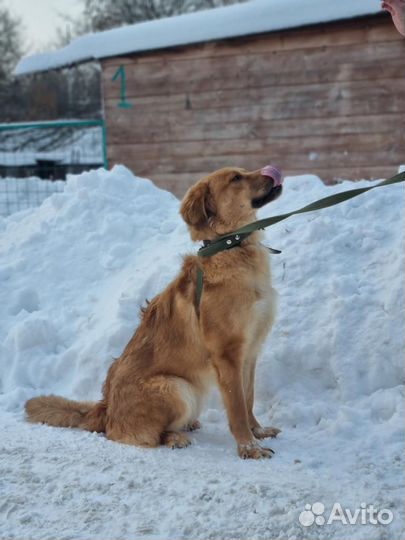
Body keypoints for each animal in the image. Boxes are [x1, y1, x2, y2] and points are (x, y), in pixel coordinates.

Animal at [26, 166, 284, 460]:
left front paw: (258, 431)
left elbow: (248, 399)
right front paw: (248, 448)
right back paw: (175, 437)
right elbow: (238, 407)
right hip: (176, 387)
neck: (232, 247)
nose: (272, 171)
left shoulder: (250, 352)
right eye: (236, 178)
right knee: (138, 435)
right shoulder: (227, 355)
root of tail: (105, 408)